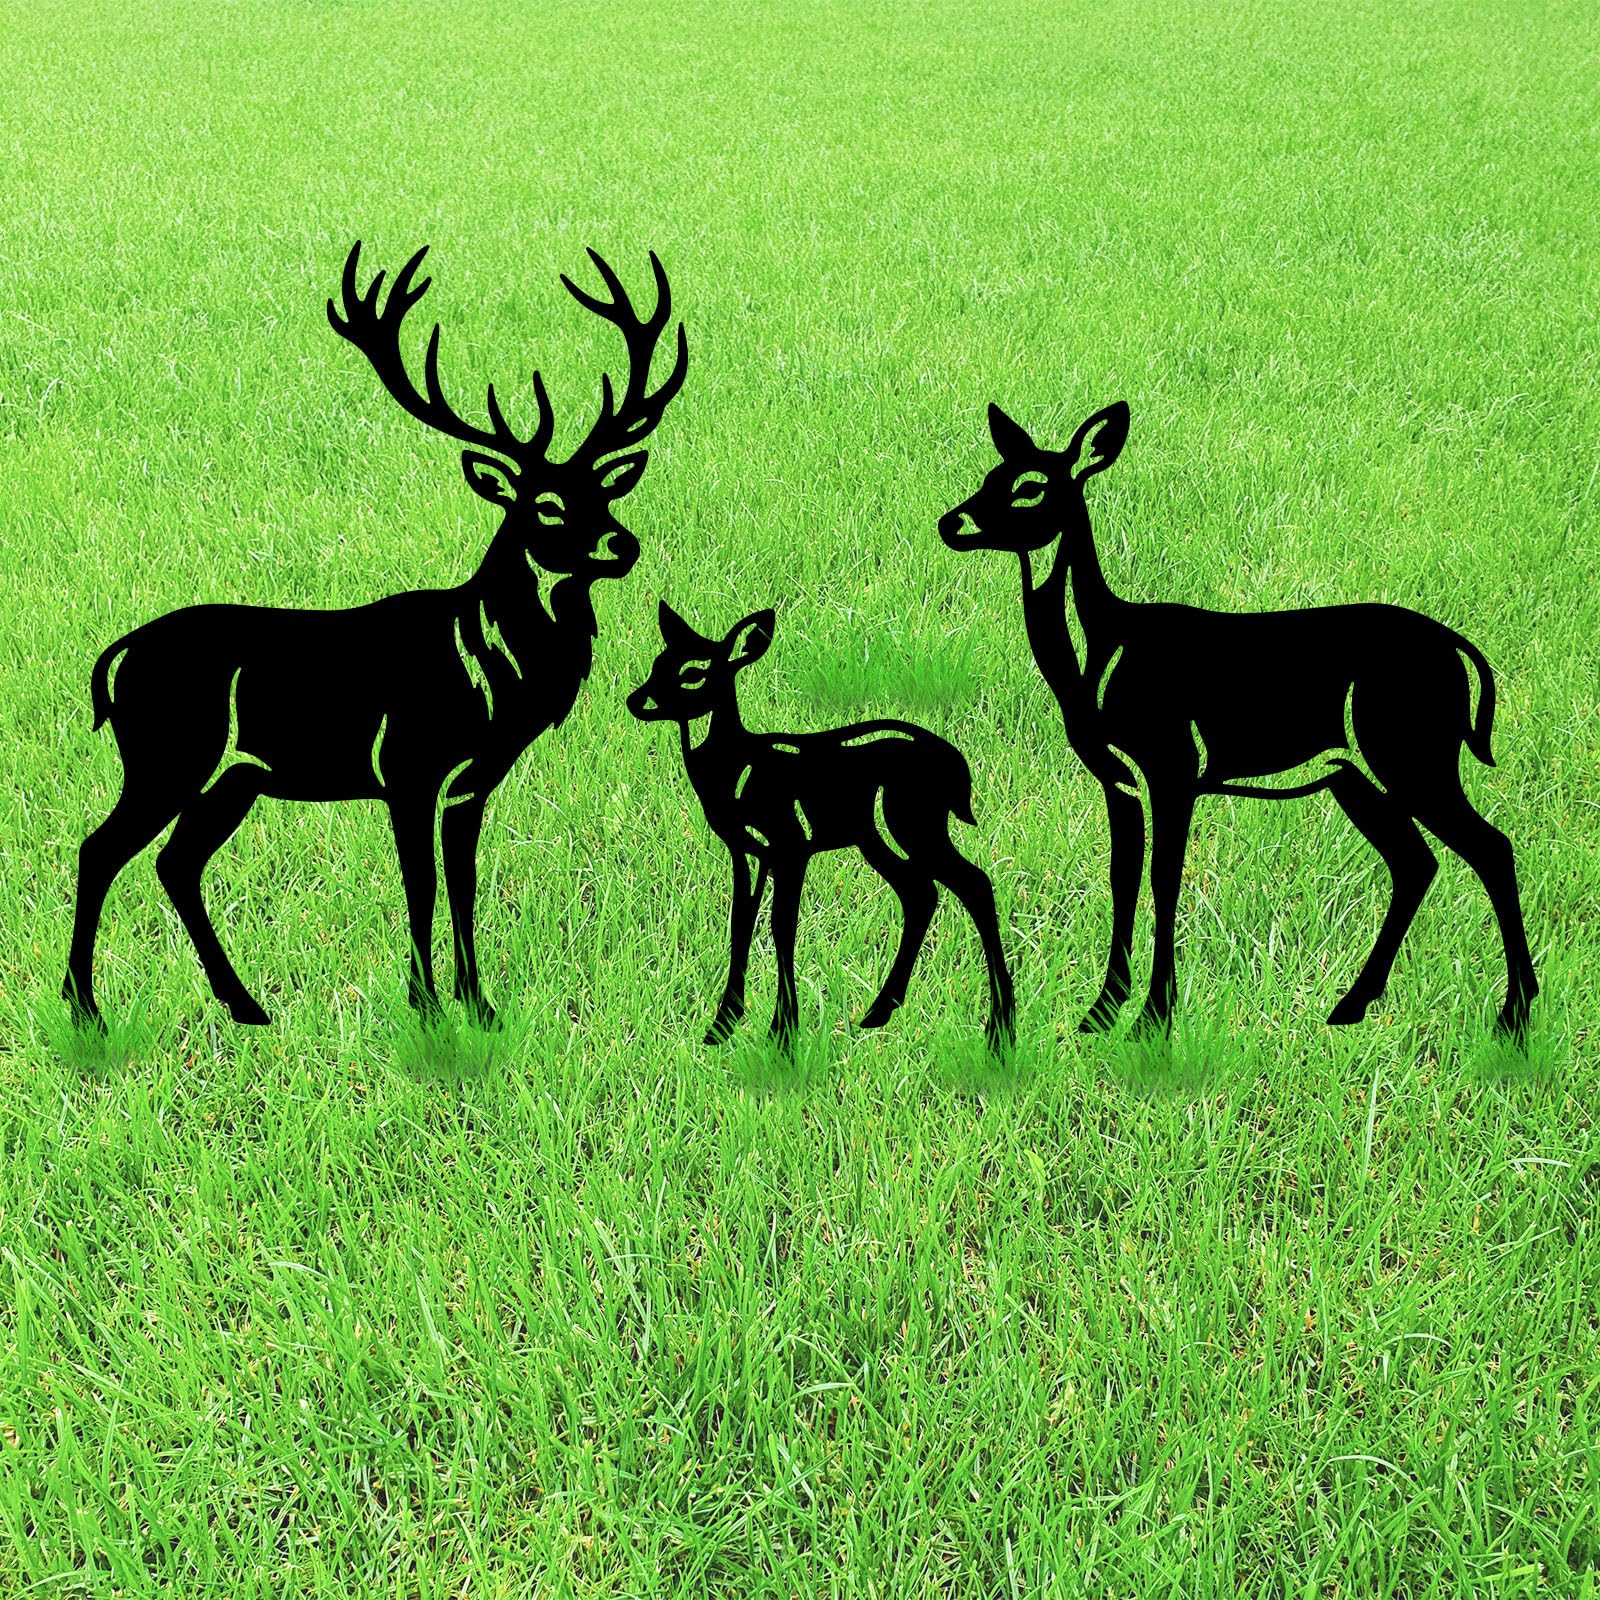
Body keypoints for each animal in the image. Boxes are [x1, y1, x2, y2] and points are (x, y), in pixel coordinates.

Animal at [63, 240, 687, 1032]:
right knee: (100, 850)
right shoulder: (408, 767)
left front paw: (480, 1006)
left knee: (176, 862)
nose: (622, 544)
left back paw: (245, 1005)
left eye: (604, 491)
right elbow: (420, 887)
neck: (486, 678)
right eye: (544, 504)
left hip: (232, 775)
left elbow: (463, 884)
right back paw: (86, 1008)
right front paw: (426, 1007)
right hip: (170, 751)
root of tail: (115, 659)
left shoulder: (470, 783)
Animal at [626, 602, 1016, 1051]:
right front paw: (722, 1026)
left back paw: (999, 1027)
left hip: (911, 822)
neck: (737, 770)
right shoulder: (746, 850)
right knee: (921, 893)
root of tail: (957, 766)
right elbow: (740, 923)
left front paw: (782, 1032)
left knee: (975, 884)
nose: (636, 701)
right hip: (875, 837)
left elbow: (782, 927)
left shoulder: (790, 843)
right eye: (658, 663)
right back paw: (880, 1012)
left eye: (693, 673)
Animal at [939, 400, 1537, 1040]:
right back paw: (1352, 1005)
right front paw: (1101, 1012)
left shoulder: (1173, 763)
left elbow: (1164, 879)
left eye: (1030, 487)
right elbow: (1122, 879)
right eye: (990, 476)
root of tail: (1461, 652)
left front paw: (1154, 1017)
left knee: (1492, 848)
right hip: (1358, 774)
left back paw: (1515, 1014)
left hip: (1411, 752)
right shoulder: (1119, 777)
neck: (1102, 657)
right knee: (1416, 862)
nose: (953, 522)